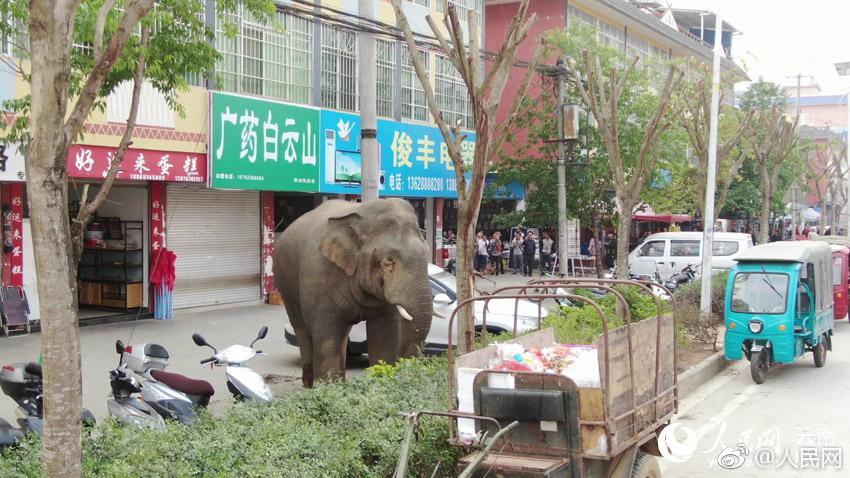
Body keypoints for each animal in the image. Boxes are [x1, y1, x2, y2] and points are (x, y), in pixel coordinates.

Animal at [274, 198, 435, 388]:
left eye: (427, 255)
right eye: (388, 261)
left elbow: (385, 332)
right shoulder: (318, 273)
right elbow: (327, 332)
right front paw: (330, 389)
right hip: (284, 281)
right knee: (302, 328)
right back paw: (309, 384)